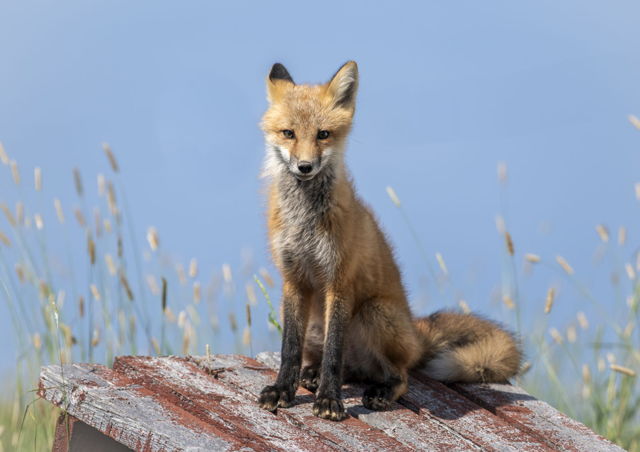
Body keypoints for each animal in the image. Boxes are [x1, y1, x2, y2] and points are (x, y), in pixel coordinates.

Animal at [257, 61, 522, 421]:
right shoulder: (293, 279)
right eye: (289, 133)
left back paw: (380, 391)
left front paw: (330, 400)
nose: (305, 166)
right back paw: (311, 376)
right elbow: (290, 349)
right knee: (341, 366)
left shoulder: (340, 281)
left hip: (374, 313)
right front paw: (283, 390)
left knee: (398, 375)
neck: (305, 222)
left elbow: (333, 354)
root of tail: (414, 330)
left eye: (323, 135)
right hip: (317, 324)